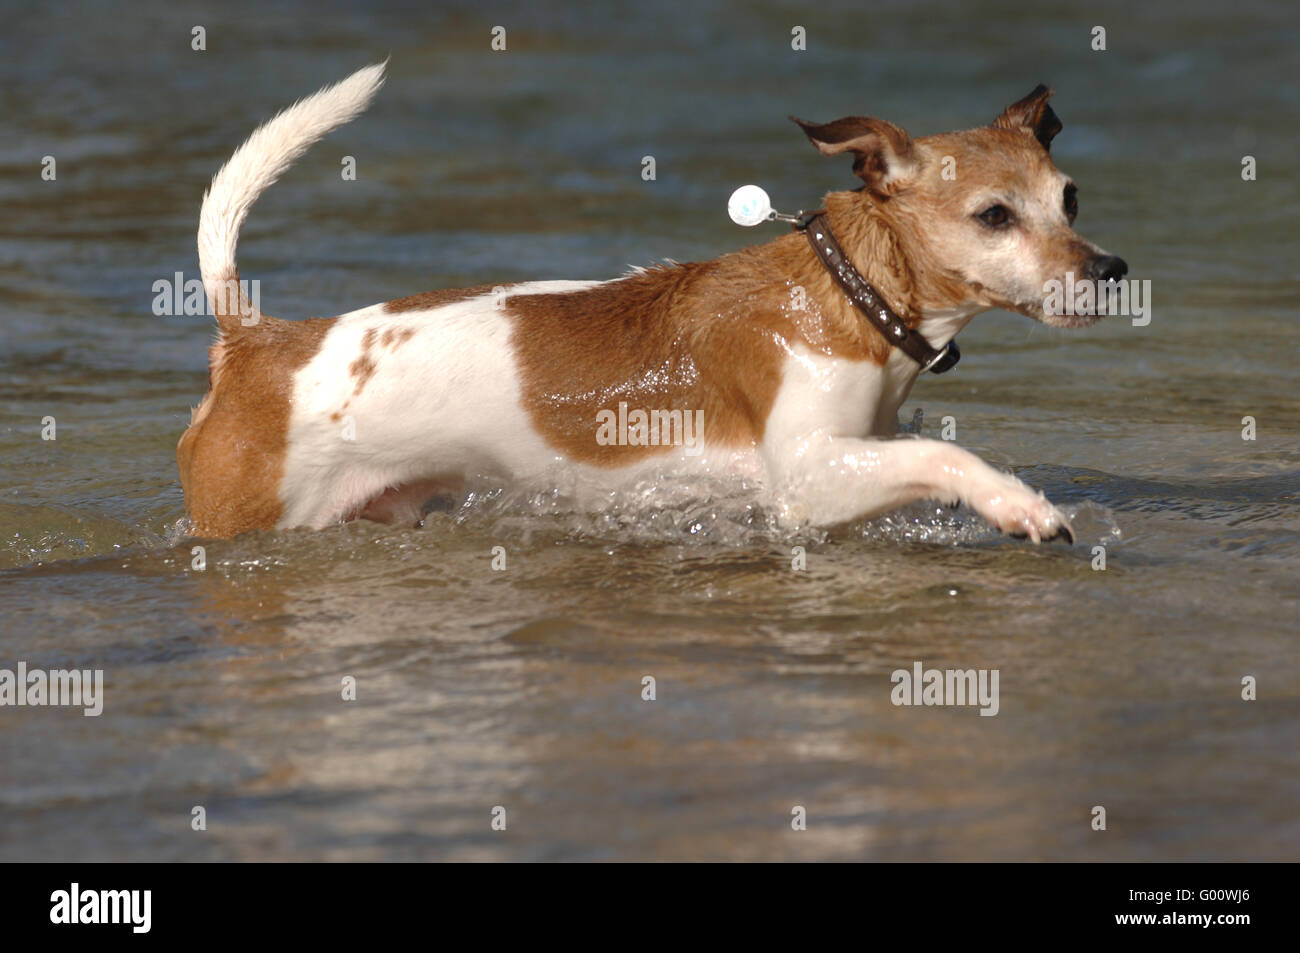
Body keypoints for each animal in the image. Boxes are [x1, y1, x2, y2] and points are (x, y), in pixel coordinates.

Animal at [175, 63, 1128, 538]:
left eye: (1071, 199)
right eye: (995, 216)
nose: (1113, 269)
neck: (847, 290)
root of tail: (262, 343)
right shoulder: (808, 477)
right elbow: (949, 458)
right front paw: (1019, 504)